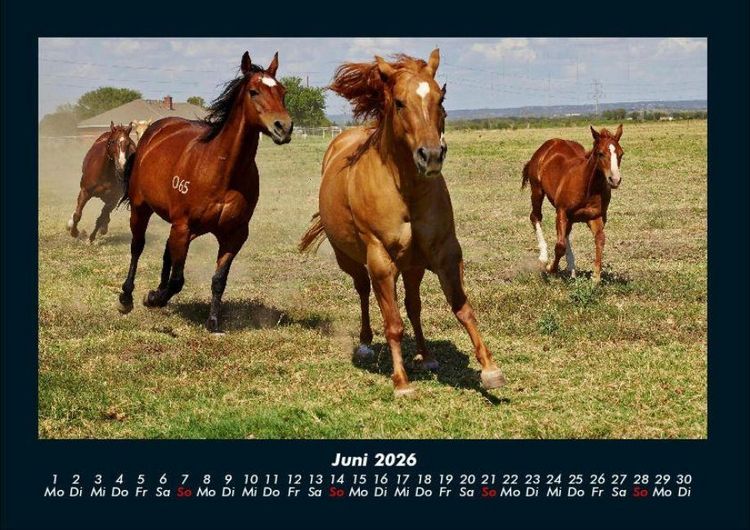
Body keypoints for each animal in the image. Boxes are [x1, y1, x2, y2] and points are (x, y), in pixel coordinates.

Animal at [116, 51, 293, 333]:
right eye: (254, 91)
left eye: (282, 91)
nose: (283, 127)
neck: (222, 172)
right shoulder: (183, 226)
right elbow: (177, 280)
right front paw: (153, 298)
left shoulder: (233, 235)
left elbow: (218, 279)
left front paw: (213, 321)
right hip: (141, 209)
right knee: (137, 246)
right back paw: (127, 297)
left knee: (167, 252)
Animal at [299, 50, 505, 397]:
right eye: (398, 102)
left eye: (440, 97)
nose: (431, 156)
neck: (405, 190)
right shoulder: (381, 260)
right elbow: (393, 323)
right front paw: (401, 382)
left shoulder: (445, 252)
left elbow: (461, 308)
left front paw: (490, 369)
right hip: (352, 260)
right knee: (364, 292)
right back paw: (366, 345)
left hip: (413, 266)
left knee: (413, 305)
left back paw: (426, 355)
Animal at [522, 125, 624, 282]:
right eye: (600, 153)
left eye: (621, 154)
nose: (615, 180)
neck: (588, 188)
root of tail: (550, 144)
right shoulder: (562, 211)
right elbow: (560, 246)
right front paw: (551, 268)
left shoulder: (595, 217)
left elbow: (600, 239)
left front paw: (596, 277)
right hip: (537, 190)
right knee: (535, 217)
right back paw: (544, 257)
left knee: (566, 233)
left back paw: (572, 269)